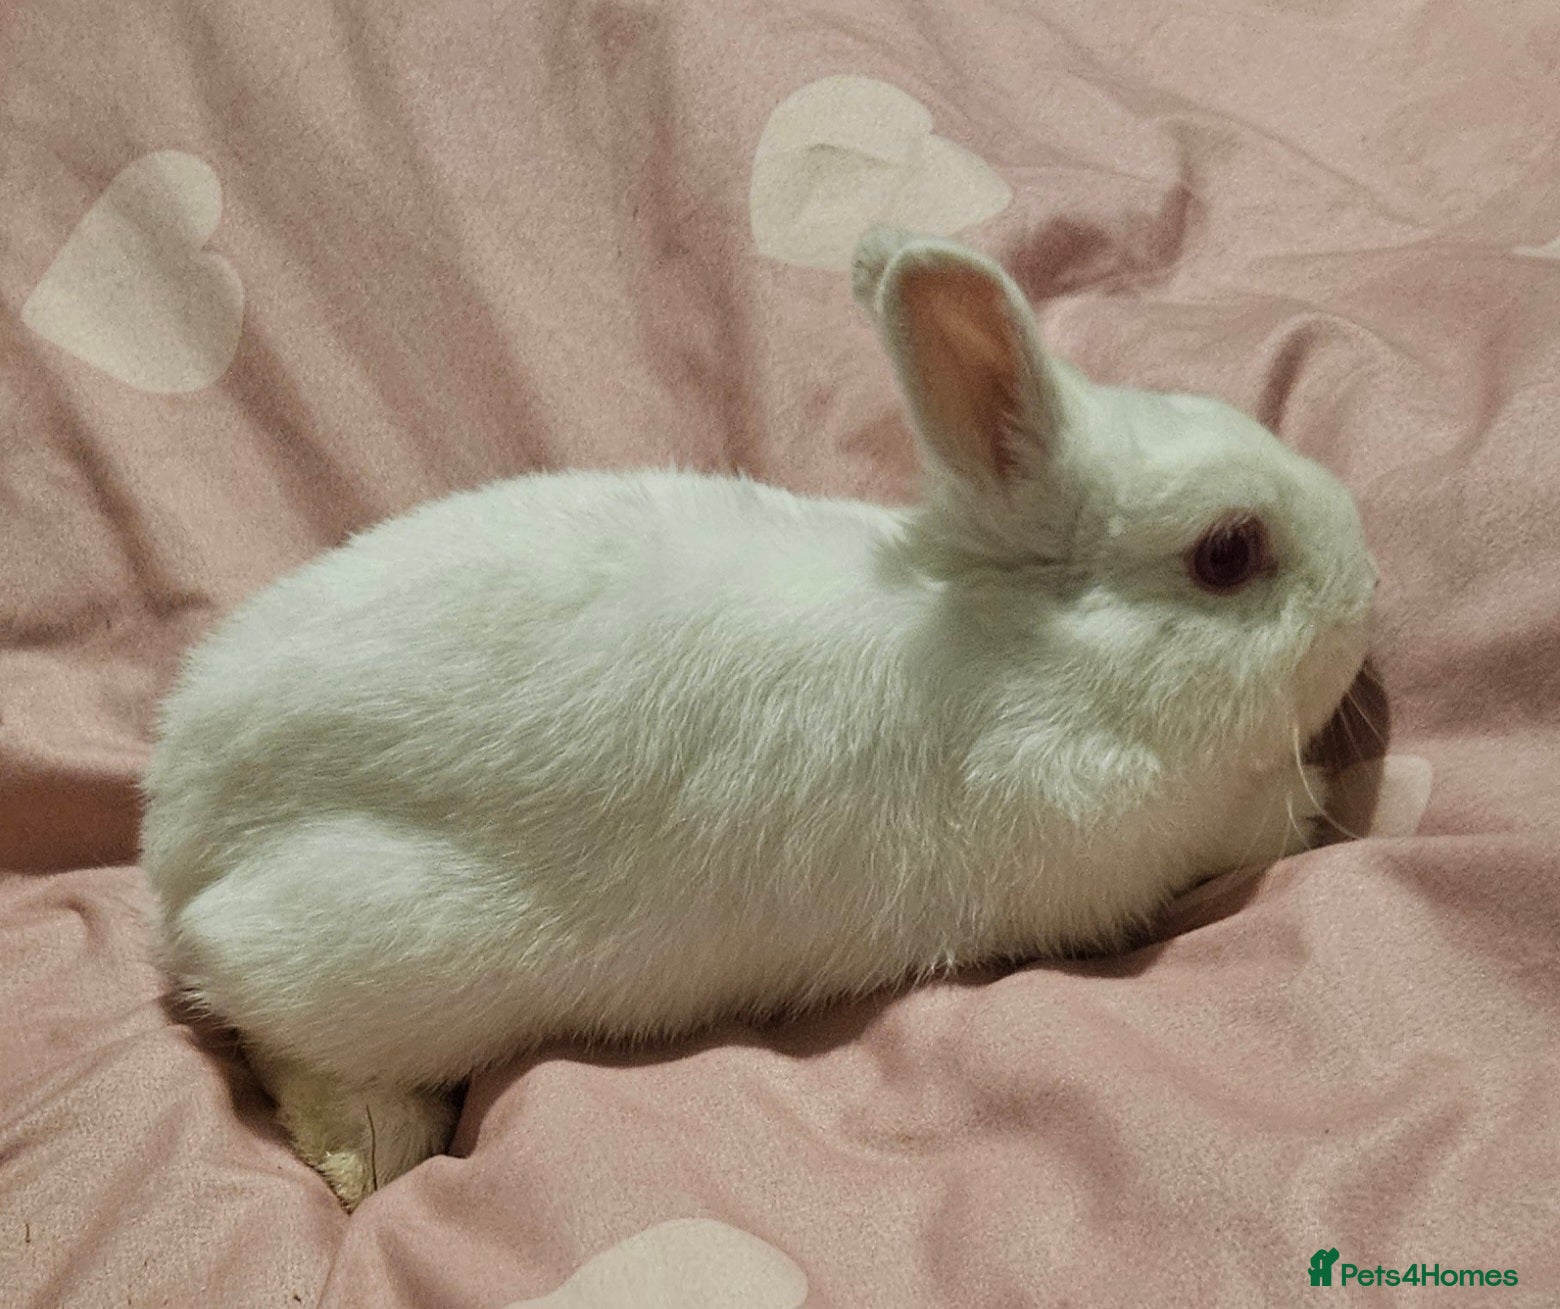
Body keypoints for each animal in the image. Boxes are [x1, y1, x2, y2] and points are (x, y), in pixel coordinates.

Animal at [141, 227, 1377, 1210]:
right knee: (279, 1028)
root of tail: (177, 835)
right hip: (381, 954)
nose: (1368, 587)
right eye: (1228, 552)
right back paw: (372, 1156)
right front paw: (1311, 806)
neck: (1020, 637)